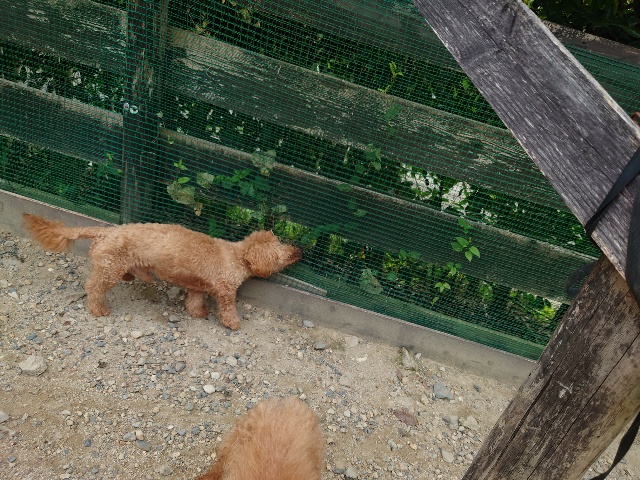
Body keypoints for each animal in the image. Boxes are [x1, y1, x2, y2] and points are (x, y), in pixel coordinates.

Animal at [22, 214, 302, 330]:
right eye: (282, 251)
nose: (299, 251)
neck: (237, 256)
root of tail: (104, 232)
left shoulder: (196, 286)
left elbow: (194, 301)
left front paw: (199, 313)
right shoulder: (224, 291)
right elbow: (227, 309)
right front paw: (233, 324)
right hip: (109, 270)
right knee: (93, 288)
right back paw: (98, 309)